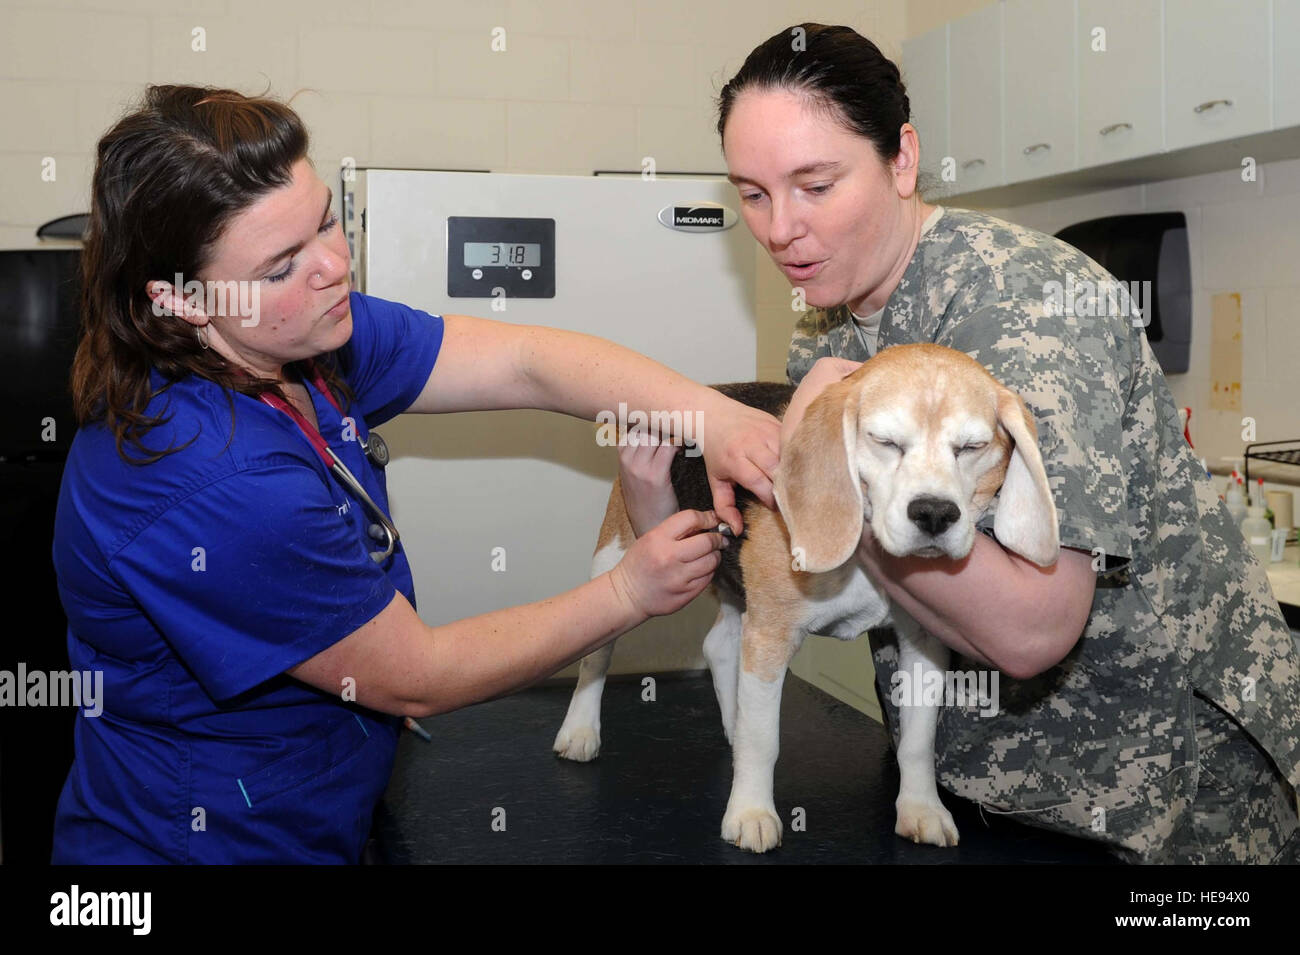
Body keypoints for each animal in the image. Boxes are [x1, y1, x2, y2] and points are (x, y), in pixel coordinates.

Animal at [548, 343, 1055, 852]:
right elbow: (763, 740)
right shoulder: (771, 635)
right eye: (885, 441)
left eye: (972, 447)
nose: (934, 513)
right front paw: (751, 812)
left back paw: (732, 722)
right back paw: (580, 729)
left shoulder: (924, 644)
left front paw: (921, 809)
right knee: (597, 653)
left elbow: (916, 742)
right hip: (620, 554)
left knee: (719, 648)